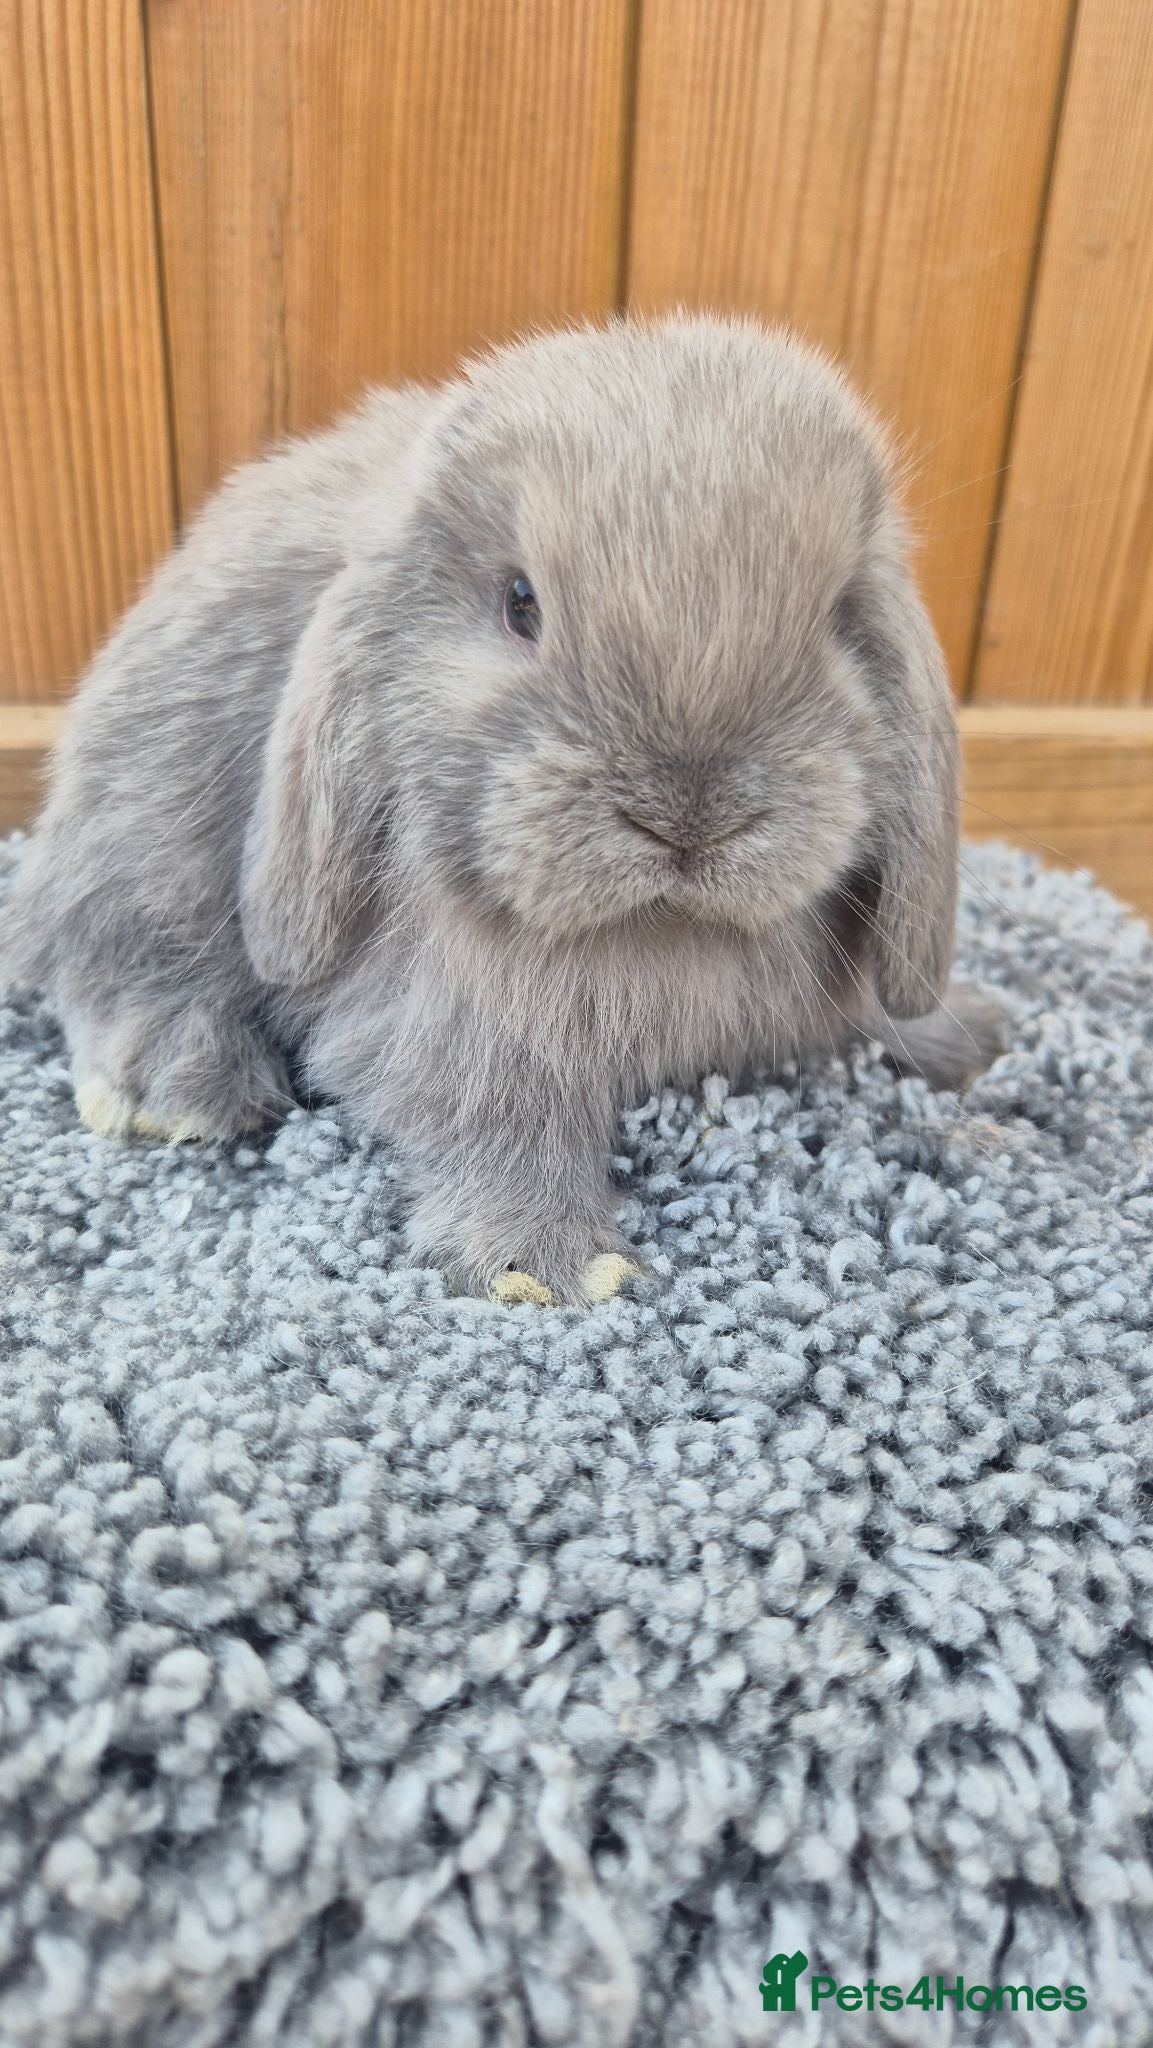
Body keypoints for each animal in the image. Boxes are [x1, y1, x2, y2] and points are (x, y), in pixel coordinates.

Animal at [4, 314, 1004, 1306]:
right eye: (521, 604)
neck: (661, 928)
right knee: (116, 966)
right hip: (141, 850)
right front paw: (545, 1264)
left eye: (838, 618)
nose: (687, 817)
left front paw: (963, 1033)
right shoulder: (454, 1020)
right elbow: (496, 1109)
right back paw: (178, 1092)